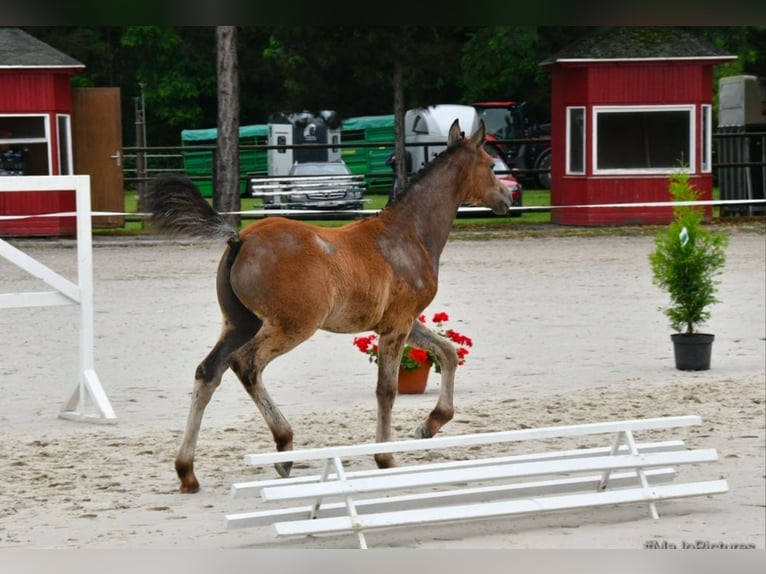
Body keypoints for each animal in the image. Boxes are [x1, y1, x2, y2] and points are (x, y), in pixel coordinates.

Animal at [147, 118, 512, 496]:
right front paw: (385, 457)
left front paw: (429, 425)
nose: (508, 197)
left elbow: (449, 352)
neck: (409, 234)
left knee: (209, 372)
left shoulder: (403, 322)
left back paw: (188, 471)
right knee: (246, 365)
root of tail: (240, 238)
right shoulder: (397, 325)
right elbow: (387, 389)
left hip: (240, 323)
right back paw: (283, 447)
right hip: (291, 326)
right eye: (490, 165)